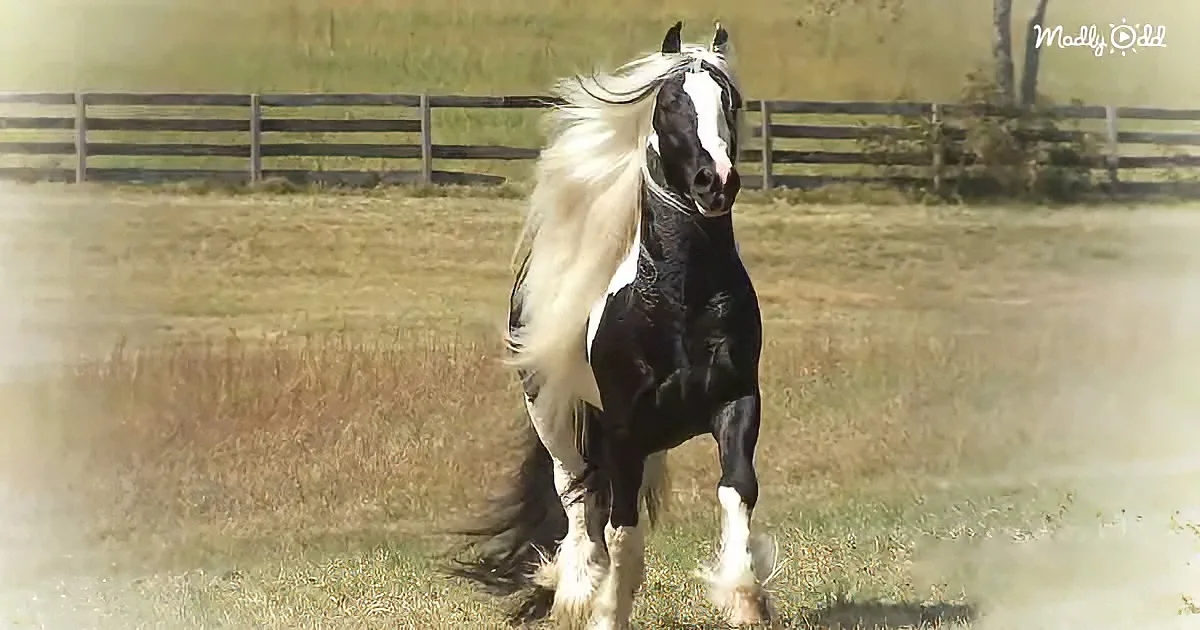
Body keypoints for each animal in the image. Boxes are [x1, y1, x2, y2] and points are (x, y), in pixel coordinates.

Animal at [446, 21, 777, 629]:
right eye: (669, 103)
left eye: (732, 101)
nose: (715, 181)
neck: (678, 301)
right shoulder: (625, 425)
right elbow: (620, 527)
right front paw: (604, 607)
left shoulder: (737, 400)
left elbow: (736, 490)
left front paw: (744, 598)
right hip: (554, 415)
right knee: (576, 493)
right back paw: (575, 587)